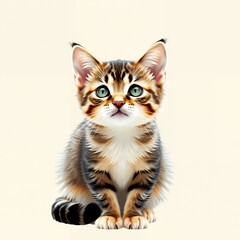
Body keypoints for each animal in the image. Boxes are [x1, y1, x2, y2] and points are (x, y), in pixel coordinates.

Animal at [51, 40, 169, 230]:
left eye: (135, 90)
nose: (118, 102)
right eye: (102, 91)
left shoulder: (149, 167)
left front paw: (133, 215)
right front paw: (110, 216)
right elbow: (104, 194)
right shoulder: (93, 166)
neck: (122, 135)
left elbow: (139, 193)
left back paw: (146, 211)